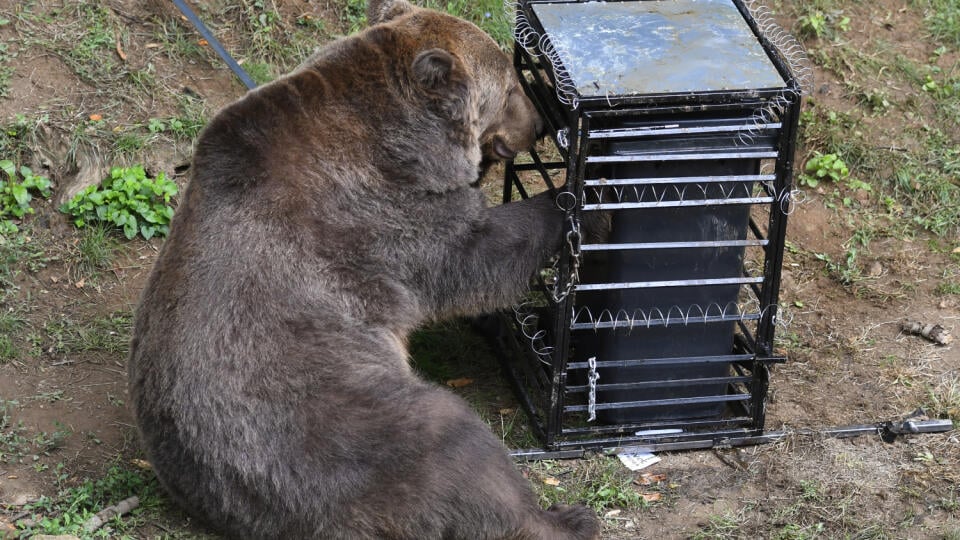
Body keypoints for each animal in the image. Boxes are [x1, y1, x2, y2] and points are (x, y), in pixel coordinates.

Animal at [129, 2, 600, 536]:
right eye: (510, 87)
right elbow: (474, 254)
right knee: (459, 449)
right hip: (347, 430)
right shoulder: (381, 213)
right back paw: (566, 517)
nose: (540, 122)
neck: (402, 142)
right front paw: (578, 200)